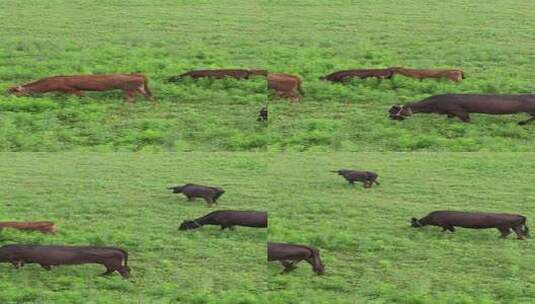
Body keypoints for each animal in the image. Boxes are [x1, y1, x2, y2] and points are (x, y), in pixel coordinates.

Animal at [0, 245, 131, 278]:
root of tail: (117, 249)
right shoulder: (43, 262)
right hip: (109, 264)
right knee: (111, 270)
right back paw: (99, 275)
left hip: (113, 263)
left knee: (124, 269)